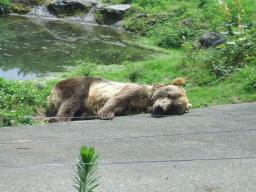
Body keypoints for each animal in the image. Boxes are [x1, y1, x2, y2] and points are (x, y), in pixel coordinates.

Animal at [46, 76, 191, 121]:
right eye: (168, 94)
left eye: (172, 108)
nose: (160, 108)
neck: (148, 101)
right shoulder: (135, 90)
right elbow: (119, 98)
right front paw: (105, 113)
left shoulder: (134, 107)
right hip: (82, 84)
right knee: (74, 99)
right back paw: (59, 118)